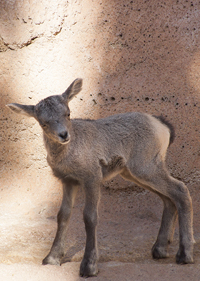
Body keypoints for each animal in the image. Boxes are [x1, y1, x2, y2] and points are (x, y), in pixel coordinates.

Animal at [7, 78, 195, 276]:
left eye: (68, 113)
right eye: (43, 122)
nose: (63, 135)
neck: (70, 155)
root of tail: (164, 127)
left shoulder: (92, 178)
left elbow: (90, 217)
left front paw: (89, 266)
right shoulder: (68, 181)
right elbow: (63, 215)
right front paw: (51, 258)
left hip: (146, 167)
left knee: (180, 189)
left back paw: (184, 254)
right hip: (135, 173)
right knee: (169, 199)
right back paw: (159, 249)